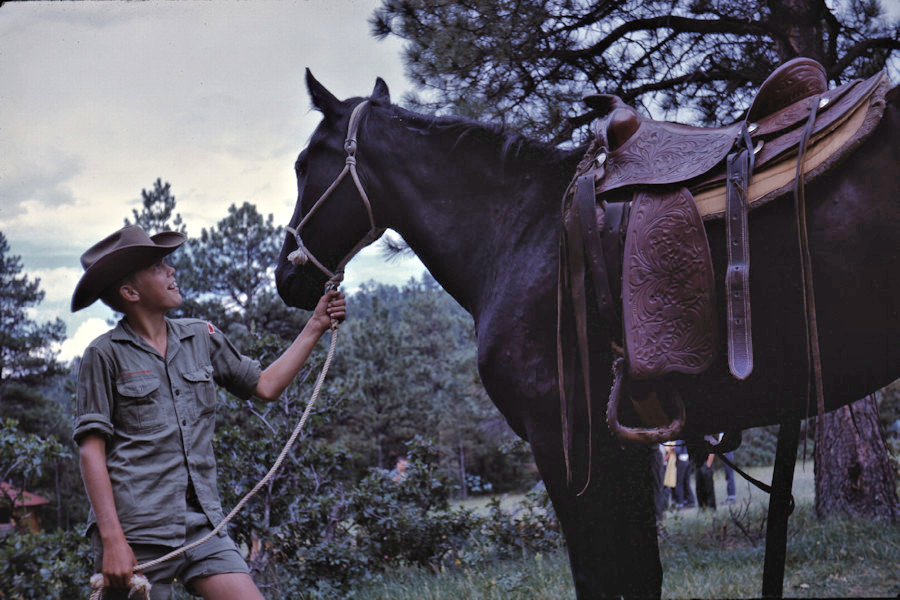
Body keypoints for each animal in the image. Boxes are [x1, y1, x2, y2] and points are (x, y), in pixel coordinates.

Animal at [278, 72, 896, 596]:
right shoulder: (625, 447)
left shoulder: (566, 442)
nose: (287, 277)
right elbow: (639, 576)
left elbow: (604, 577)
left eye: (304, 163)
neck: (523, 230)